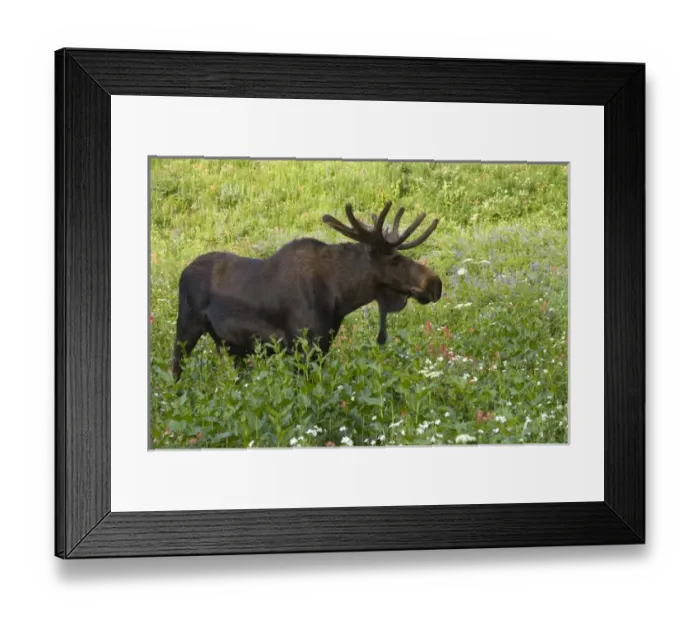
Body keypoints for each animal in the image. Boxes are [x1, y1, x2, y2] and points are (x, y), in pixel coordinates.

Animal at [171, 200, 442, 381]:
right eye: (394, 260)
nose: (436, 283)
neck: (341, 297)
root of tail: (183, 271)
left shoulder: (322, 345)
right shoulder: (302, 347)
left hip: (230, 346)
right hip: (186, 328)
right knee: (175, 370)